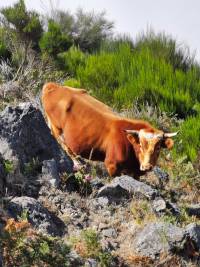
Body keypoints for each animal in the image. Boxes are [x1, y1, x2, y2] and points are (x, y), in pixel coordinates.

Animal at [41, 82, 177, 177]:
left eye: (158, 148)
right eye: (140, 145)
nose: (147, 166)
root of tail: (53, 86)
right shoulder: (112, 166)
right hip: (57, 127)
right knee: (63, 144)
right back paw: (78, 164)